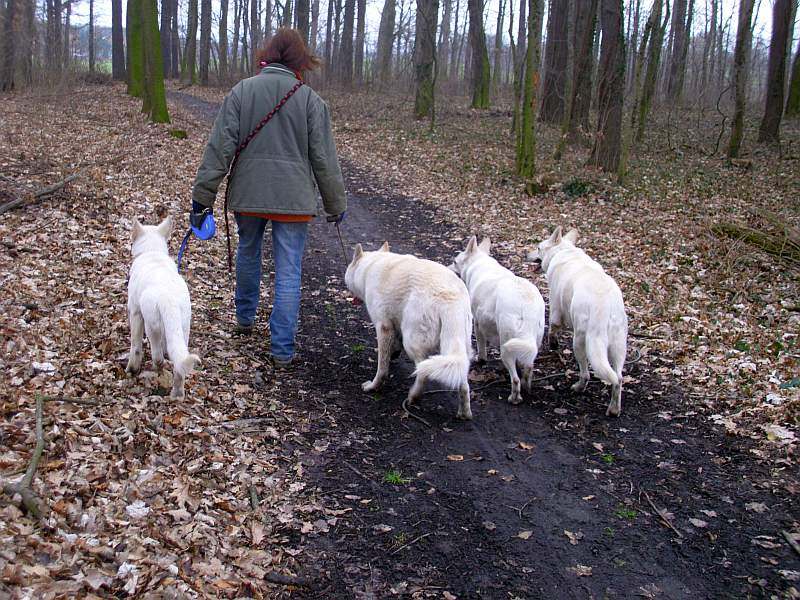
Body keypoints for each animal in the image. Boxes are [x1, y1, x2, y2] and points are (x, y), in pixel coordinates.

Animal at [126, 217, 200, 398]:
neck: (152, 252)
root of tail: (169, 298)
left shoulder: (135, 313)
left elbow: (135, 346)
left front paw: (132, 368)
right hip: (183, 329)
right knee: (179, 367)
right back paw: (177, 395)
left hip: (152, 327)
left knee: (158, 357)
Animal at [346, 241, 476, 420]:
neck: (370, 266)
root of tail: (450, 297)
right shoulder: (395, 325)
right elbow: (394, 346)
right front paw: (394, 354)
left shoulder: (383, 327)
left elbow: (382, 367)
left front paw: (374, 386)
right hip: (458, 349)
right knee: (463, 384)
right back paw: (465, 413)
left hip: (412, 342)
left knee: (423, 373)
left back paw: (414, 396)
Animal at [450, 234, 544, 404]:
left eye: (454, 261)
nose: (446, 268)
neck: (479, 263)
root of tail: (526, 306)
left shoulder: (477, 323)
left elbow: (481, 346)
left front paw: (481, 360)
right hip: (532, 342)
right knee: (528, 369)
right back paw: (526, 388)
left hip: (505, 346)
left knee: (515, 379)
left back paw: (514, 398)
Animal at [528, 227, 628, 414]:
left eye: (538, 248)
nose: (526, 255)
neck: (564, 251)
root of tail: (604, 305)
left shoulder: (555, 311)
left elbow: (552, 328)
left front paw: (553, 344)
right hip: (618, 346)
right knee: (618, 378)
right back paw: (613, 409)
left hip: (580, 342)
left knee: (585, 373)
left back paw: (579, 387)